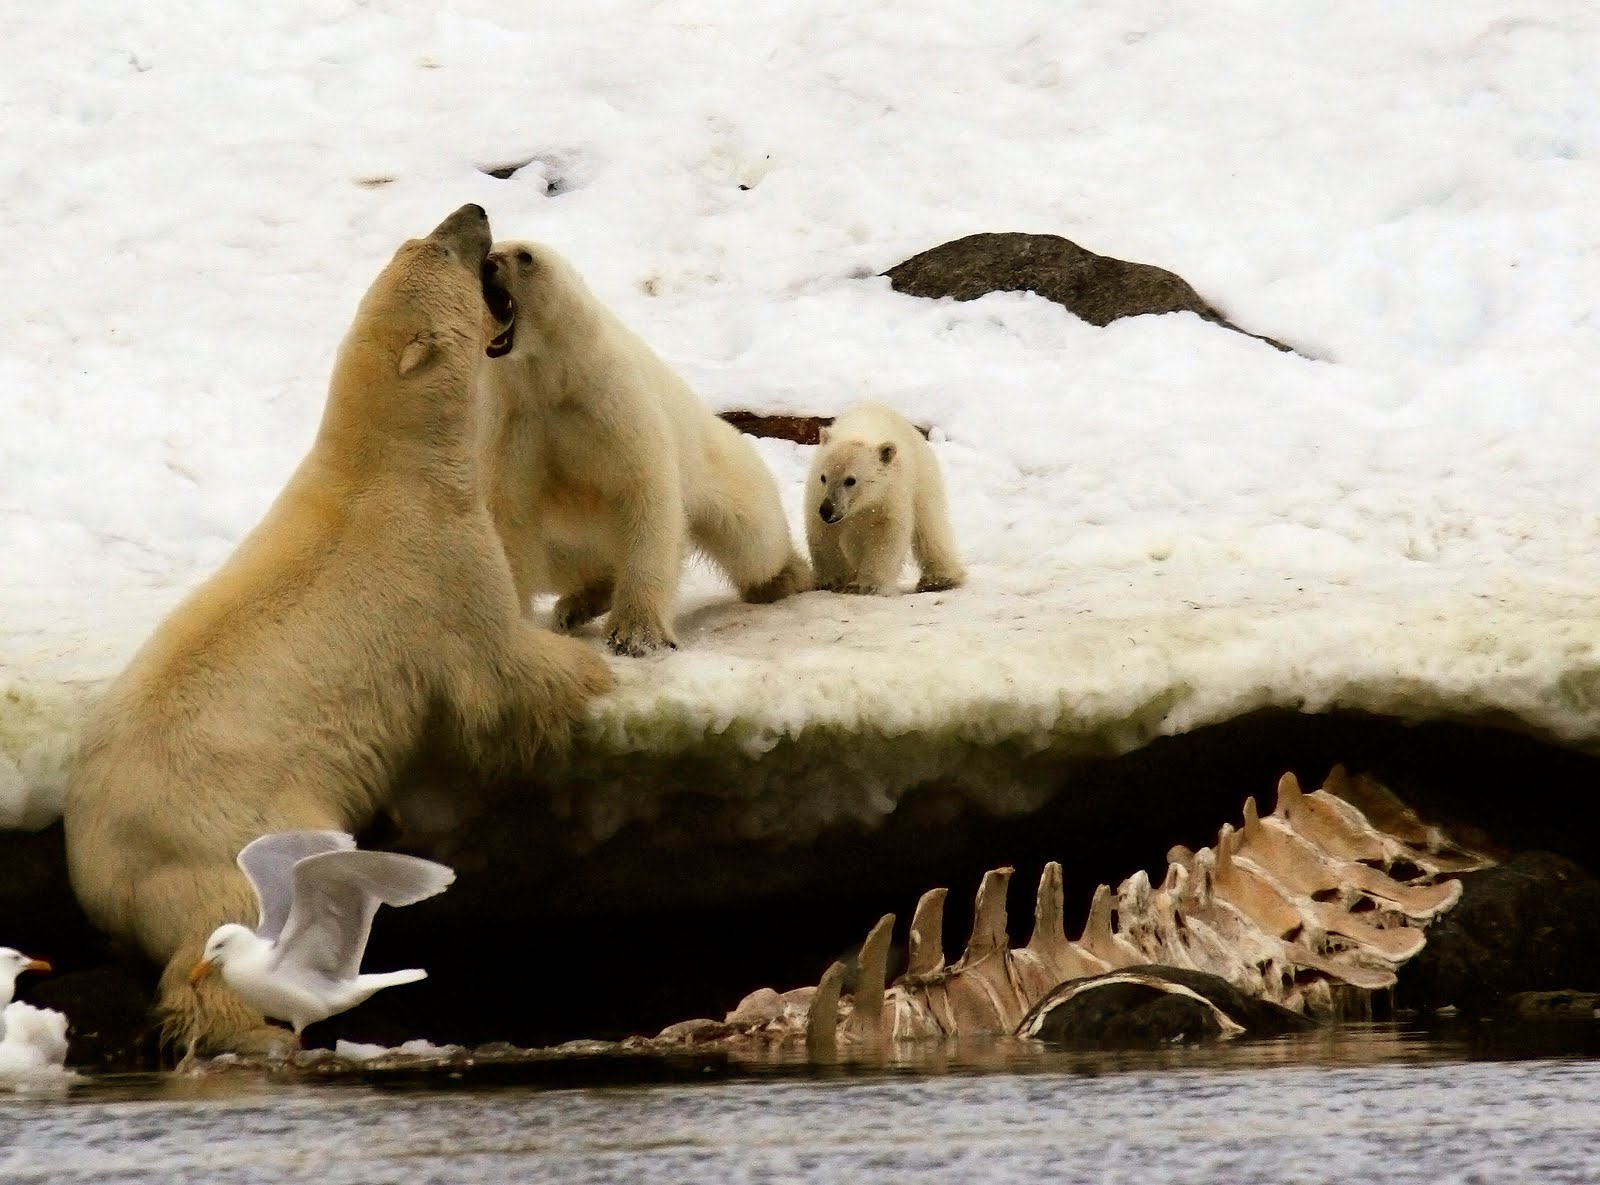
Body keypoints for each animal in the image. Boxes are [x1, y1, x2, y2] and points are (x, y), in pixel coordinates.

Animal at [62, 205, 614, 1056]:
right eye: (443, 250)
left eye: (422, 237)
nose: (476, 210)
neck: (385, 466)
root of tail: (98, 867)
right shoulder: (439, 561)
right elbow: (501, 667)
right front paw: (595, 668)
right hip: (223, 833)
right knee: (224, 923)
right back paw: (246, 1024)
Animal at [476, 240, 811, 657]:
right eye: (488, 250)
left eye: (525, 256)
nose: (487, 266)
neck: (552, 379)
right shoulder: (514, 422)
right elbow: (508, 515)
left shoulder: (611, 401)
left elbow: (642, 493)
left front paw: (635, 635)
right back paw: (577, 603)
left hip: (724, 467)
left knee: (753, 540)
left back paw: (786, 577)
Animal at [806, 402, 966, 596]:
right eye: (823, 477)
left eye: (850, 480)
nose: (827, 510)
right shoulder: (817, 494)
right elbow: (822, 533)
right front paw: (835, 581)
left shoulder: (889, 493)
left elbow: (886, 533)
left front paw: (869, 585)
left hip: (923, 476)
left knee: (930, 525)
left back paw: (940, 579)